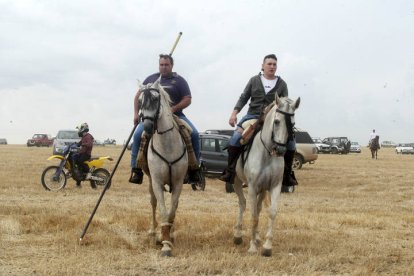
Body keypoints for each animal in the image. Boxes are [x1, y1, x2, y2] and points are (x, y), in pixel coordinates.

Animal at [137, 80, 188, 256]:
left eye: (154, 99)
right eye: (140, 101)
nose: (147, 127)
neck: (167, 145)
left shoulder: (178, 183)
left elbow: (172, 211)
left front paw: (168, 236)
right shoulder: (157, 182)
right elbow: (163, 210)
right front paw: (163, 242)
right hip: (150, 181)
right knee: (153, 202)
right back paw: (153, 231)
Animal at [231, 95, 300, 256]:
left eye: (293, 124)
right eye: (277, 121)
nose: (280, 150)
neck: (267, 153)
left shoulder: (274, 186)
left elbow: (271, 212)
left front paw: (267, 247)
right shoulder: (252, 187)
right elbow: (254, 216)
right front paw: (252, 247)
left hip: (262, 189)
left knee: (258, 207)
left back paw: (256, 237)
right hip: (237, 183)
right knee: (243, 204)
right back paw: (238, 235)